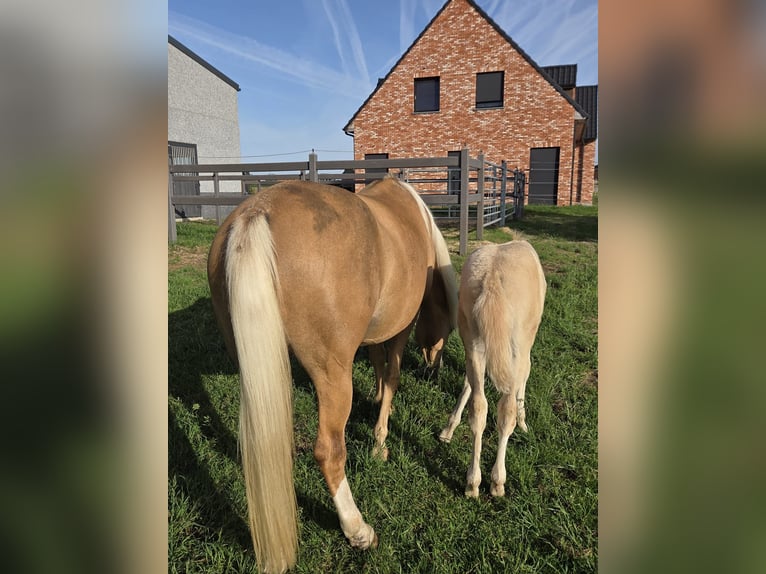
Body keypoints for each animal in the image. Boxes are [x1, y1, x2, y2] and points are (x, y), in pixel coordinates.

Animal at [206, 177, 458, 573]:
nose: (436, 366)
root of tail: (257, 211)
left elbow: (377, 363)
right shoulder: (400, 330)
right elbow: (392, 375)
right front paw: (380, 442)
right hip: (332, 376)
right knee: (329, 451)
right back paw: (357, 529)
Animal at [439, 240, 546, 498]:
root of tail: (492, 279)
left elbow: (468, 384)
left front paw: (448, 429)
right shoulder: (524, 347)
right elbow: (525, 377)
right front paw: (524, 422)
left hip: (473, 340)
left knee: (479, 407)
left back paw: (472, 484)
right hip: (515, 348)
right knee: (505, 410)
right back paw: (497, 483)